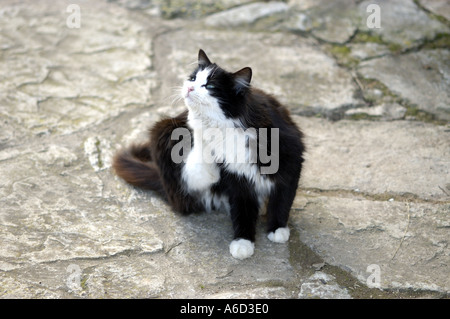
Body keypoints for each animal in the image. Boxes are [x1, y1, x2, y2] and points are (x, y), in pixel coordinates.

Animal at [114, 49, 306, 260]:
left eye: (210, 86)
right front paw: (243, 242)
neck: (227, 128)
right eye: (192, 78)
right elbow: (242, 210)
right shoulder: (235, 179)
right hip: (164, 134)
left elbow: (282, 199)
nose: (189, 88)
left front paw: (277, 228)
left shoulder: (291, 160)